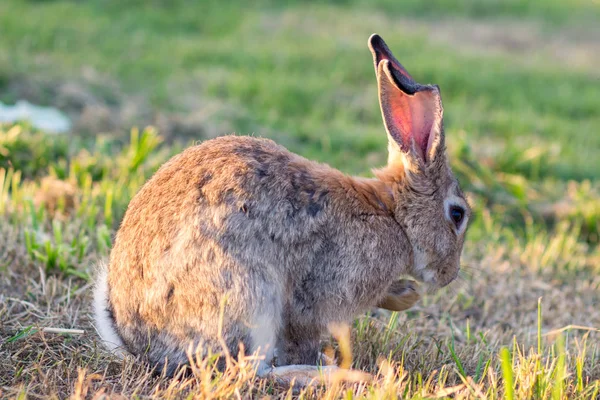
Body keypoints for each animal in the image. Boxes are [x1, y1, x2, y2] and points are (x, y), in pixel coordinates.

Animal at [92, 33, 468, 384]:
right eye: (458, 214)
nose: (449, 276)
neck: (392, 215)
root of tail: (142, 347)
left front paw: (406, 295)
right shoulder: (315, 299)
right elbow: (301, 335)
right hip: (247, 296)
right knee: (247, 371)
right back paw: (338, 375)